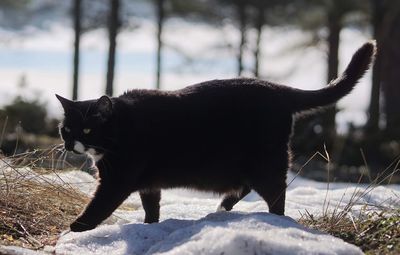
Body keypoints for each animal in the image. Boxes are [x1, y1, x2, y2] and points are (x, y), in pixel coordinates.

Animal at [55, 40, 376, 232]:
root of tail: (278, 89)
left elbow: (99, 206)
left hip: (265, 160)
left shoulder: (118, 179)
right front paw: (150, 227)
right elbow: (151, 205)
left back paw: (271, 219)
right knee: (246, 186)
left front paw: (75, 229)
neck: (121, 125)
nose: (70, 144)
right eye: (66, 129)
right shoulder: (149, 182)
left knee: (276, 193)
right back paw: (223, 207)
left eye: (87, 129)